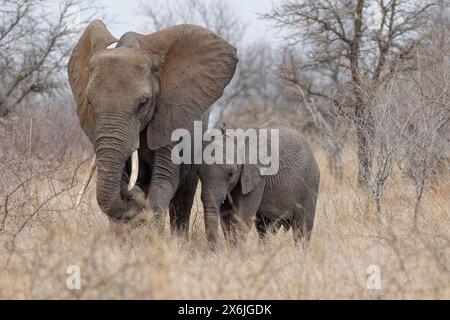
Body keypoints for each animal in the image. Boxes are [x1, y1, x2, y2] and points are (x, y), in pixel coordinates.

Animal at [68, 20, 237, 235]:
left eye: (143, 102)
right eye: (90, 103)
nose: (135, 198)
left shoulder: (171, 117)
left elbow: (164, 179)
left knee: (183, 197)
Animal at [198, 120, 320, 248]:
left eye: (231, 174)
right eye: (198, 174)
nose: (219, 249)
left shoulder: (259, 174)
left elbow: (243, 216)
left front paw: (237, 251)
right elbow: (227, 218)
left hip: (310, 183)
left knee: (302, 228)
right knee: (263, 228)